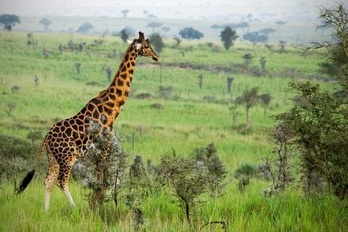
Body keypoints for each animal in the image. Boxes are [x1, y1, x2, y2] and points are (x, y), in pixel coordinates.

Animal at [15, 31, 158, 211]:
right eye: (146, 46)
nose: (156, 56)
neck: (112, 109)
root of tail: (46, 138)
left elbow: (99, 177)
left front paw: (97, 203)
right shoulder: (105, 145)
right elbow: (102, 178)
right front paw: (98, 205)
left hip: (53, 157)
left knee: (48, 180)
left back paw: (45, 212)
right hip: (68, 157)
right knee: (61, 181)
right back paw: (74, 208)